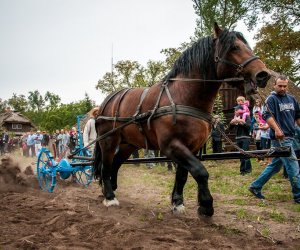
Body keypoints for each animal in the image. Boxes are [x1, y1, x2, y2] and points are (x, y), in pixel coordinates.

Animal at [93, 23, 270, 217]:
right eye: (234, 47)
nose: (263, 74)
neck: (184, 97)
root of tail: (105, 103)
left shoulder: (191, 147)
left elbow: (183, 175)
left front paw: (177, 202)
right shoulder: (172, 146)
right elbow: (200, 172)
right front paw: (206, 205)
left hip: (128, 144)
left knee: (115, 165)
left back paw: (110, 189)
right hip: (108, 142)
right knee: (105, 167)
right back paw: (110, 197)